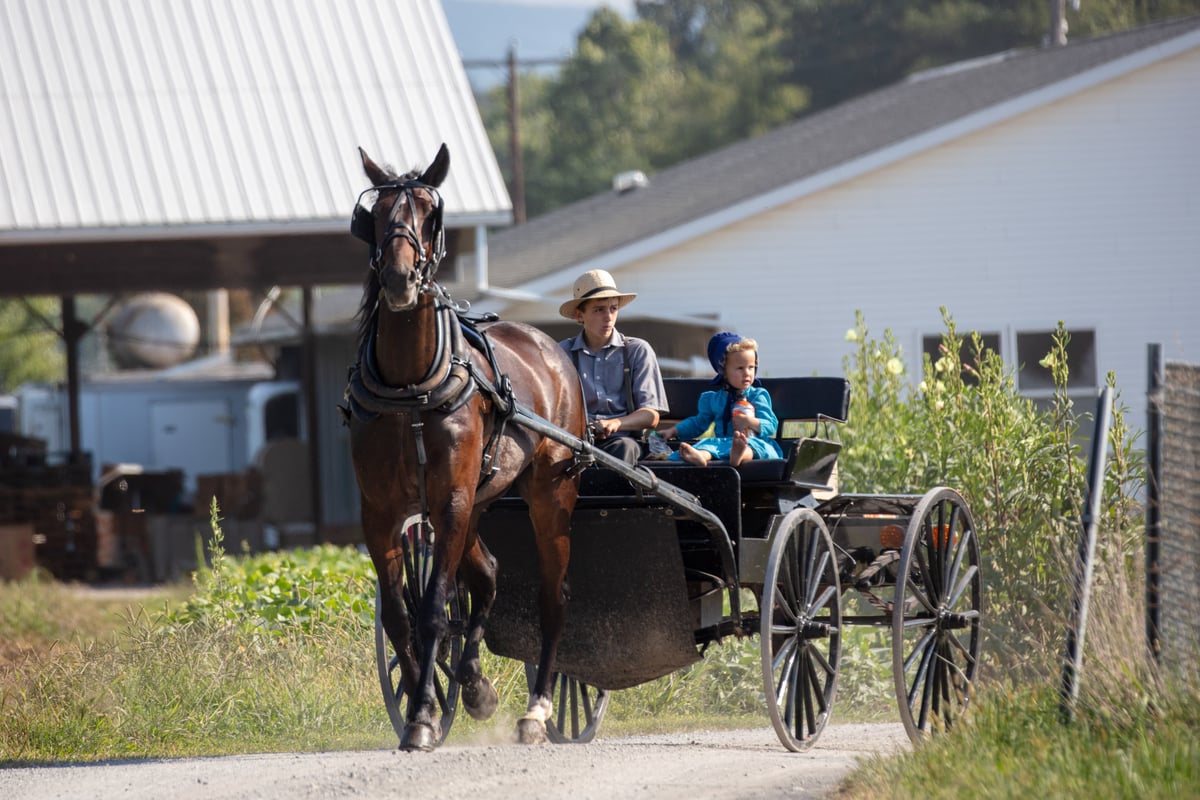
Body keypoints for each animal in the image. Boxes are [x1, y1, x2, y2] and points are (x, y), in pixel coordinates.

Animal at [343, 142, 585, 753]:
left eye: (432, 214)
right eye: (373, 216)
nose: (400, 278)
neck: (410, 387)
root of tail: (551, 347)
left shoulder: (449, 501)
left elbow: (432, 608)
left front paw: (424, 714)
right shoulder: (381, 512)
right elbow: (400, 615)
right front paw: (423, 700)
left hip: (549, 496)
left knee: (554, 597)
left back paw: (538, 710)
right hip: (479, 501)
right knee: (488, 576)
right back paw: (475, 685)